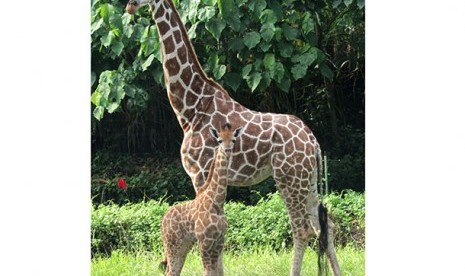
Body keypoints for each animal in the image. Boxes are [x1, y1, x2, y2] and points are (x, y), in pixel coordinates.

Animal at [160, 123, 243, 276]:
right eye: (220, 140)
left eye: (233, 140)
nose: (228, 151)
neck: (217, 201)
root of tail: (163, 220)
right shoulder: (205, 240)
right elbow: (208, 272)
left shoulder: (219, 240)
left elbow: (219, 271)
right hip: (172, 243)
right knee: (170, 271)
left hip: (184, 244)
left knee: (173, 270)